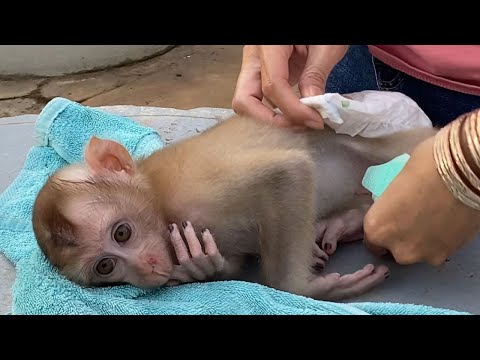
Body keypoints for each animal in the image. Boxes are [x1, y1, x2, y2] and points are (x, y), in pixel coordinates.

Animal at [30, 115, 436, 300]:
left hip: (394, 141)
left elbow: (287, 173)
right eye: (106, 267)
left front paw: (307, 289)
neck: (159, 201)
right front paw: (202, 266)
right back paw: (346, 221)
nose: (145, 270)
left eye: (122, 233)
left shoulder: (193, 190)